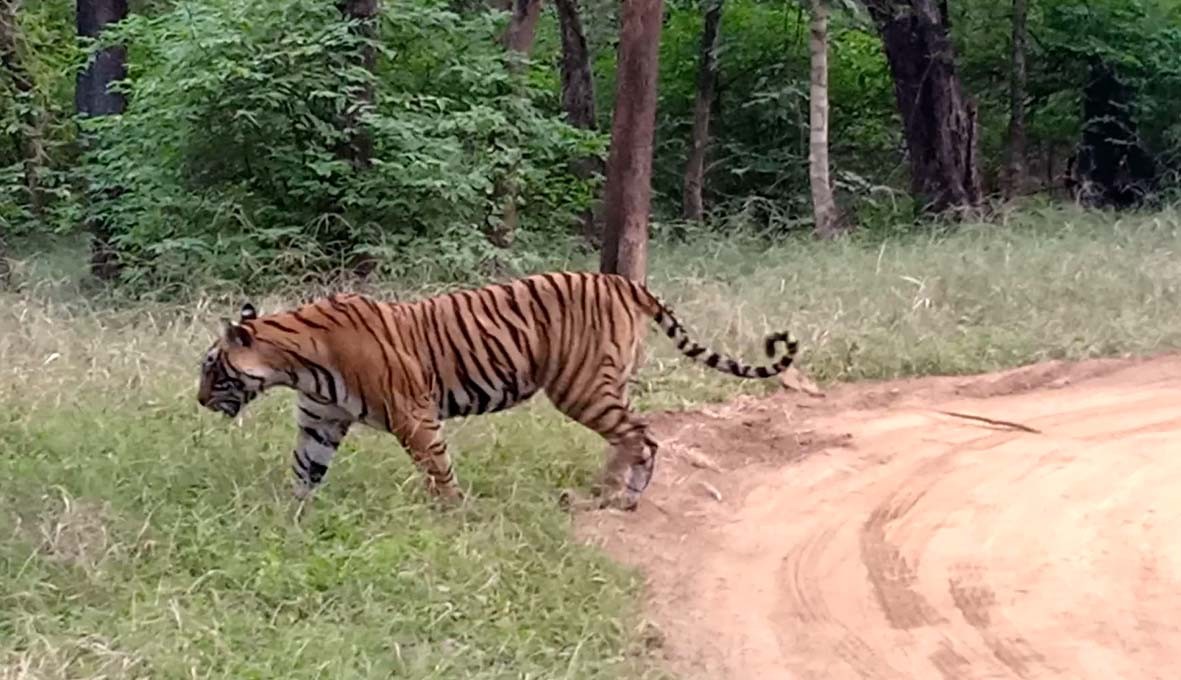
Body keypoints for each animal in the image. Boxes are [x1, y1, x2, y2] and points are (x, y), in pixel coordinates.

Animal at [198, 271, 798, 510]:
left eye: (211, 368)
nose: (199, 401)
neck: (293, 363)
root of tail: (622, 280)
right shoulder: (320, 420)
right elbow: (305, 469)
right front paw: (289, 517)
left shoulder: (413, 414)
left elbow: (437, 467)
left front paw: (453, 512)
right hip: (603, 385)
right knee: (628, 435)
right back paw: (602, 492)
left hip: (580, 386)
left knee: (641, 436)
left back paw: (622, 499)